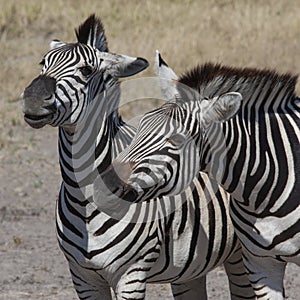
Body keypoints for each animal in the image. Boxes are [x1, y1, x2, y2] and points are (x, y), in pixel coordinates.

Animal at [20, 17, 255, 300]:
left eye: (86, 70)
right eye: (42, 63)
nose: (33, 99)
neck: (84, 198)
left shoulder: (131, 273)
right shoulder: (82, 276)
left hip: (242, 255)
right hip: (189, 268)